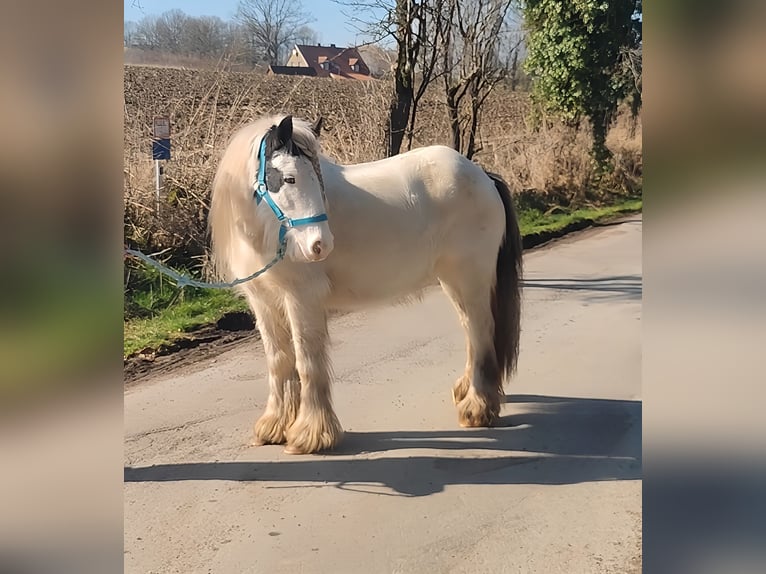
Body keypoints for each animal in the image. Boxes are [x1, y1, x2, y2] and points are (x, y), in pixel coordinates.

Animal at [208, 113, 520, 454]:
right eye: (289, 179)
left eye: (318, 178)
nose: (320, 245)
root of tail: (482, 176)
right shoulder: (263, 301)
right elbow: (278, 361)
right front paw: (274, 427)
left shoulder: (302, 298)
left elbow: (307, 362)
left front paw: (311, 434)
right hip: (453, 280)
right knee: (469, 330)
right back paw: (466, 391)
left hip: (471, 275)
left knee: (480, 332)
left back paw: (477, 407)